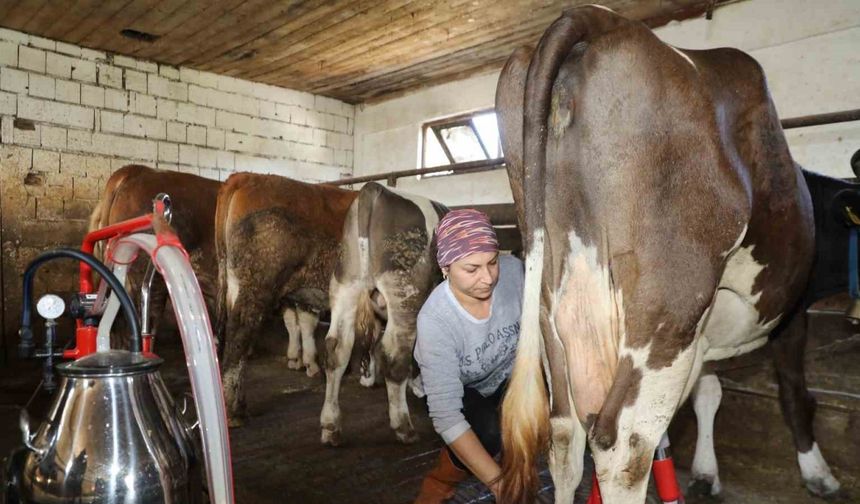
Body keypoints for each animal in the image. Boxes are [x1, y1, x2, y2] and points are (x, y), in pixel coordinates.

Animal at [320, 182, 446, 444]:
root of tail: (375, 188)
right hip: (405, 293)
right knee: (395, 353)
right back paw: (404, 426)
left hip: (345, 283)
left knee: (337, 349)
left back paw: (330, 426)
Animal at [498, 5, 840, 502]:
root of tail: (597, 17)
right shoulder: (791, 312)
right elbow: (793, 392)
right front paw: (817, 473)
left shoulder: (706, 338)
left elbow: (707, 393)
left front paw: (706, 471)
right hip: (668, 310)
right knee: (623, 446)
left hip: (552, 308)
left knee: (564, 438)